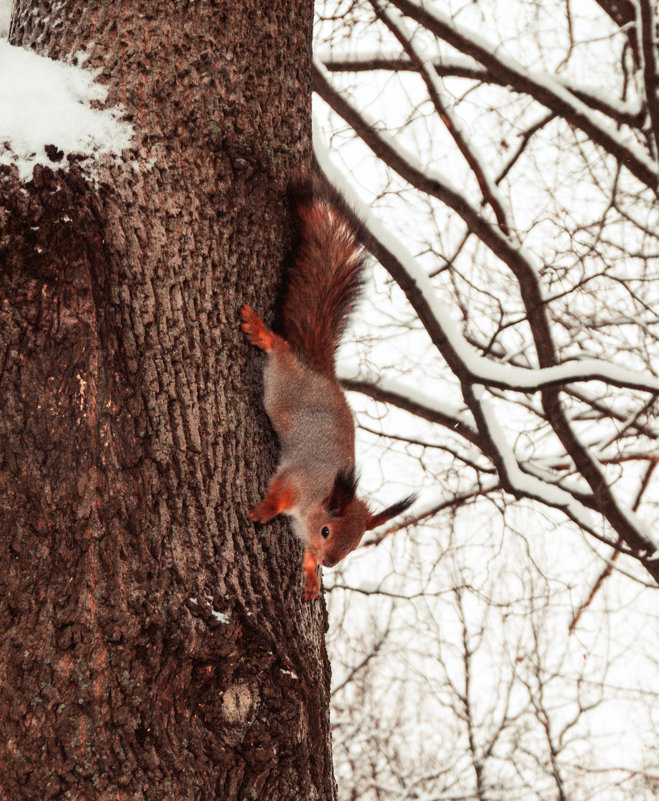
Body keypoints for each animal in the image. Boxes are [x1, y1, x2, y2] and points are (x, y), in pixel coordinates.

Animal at [240, 177, 416, 600]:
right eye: (326, 531)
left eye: (354, 545)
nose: (332, 563)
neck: (320, 498)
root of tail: (319, 370)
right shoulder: (296, 478)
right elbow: (277, 495)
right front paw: (262, 512)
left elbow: (305, 555)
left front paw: (310, 577)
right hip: (284, 379)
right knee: (281, 349)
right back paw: (262, 333)